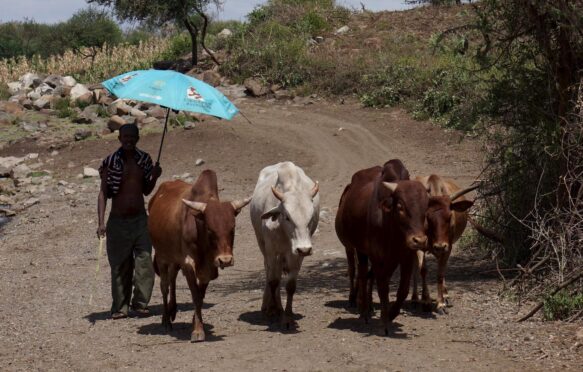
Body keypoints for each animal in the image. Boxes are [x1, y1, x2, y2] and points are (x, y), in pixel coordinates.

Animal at [147, 170, 250, 342]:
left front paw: (196, 322)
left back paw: (172, 310)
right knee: (164, 286)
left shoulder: (208, 269)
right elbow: (195, 295)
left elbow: (201, 297)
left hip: (175, 259)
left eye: (232, 228)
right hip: (162, 257)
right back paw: (166, 320)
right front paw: (197, 331)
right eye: (209, 229)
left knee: (172, 279)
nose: (225, 260)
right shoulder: (188, 264)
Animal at [250, 161, 320, 326]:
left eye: (311, 217)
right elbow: (273, 281)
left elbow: (290, 286)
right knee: (270, 272)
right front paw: (272, 309)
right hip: (262, 244)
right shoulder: (271, 251)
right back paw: (268, 305)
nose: (305, 249)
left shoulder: (296, 255)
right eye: (287, 217)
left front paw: (287, 316)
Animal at [338, 160, 428, 334]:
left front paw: (391, 314)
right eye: (400, 206)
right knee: (362, 274)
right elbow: (382, 288)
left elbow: (403, 290)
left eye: (425, 208)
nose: (419, 241)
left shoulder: (405, 257)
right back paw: (364, 311)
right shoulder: (376, 257)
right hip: (360, 251)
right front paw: (384, 321)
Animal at [412, 175, 476, 314]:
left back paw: (445, 294)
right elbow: (423, 270)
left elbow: (440, 274)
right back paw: (414, 298)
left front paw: (440, 303)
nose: (440, 246)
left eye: (450, 216)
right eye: (427, 217)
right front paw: (426, 300)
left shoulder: (448, 247)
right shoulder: (420, 246)